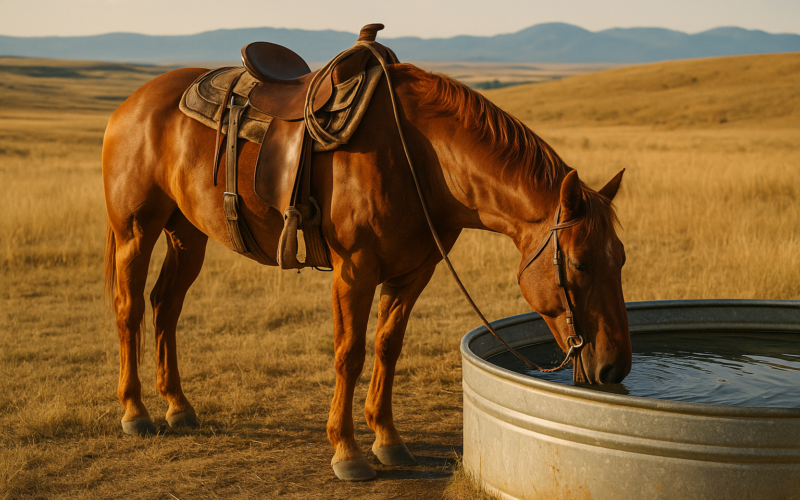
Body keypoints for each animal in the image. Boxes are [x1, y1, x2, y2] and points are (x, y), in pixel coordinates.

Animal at [102, 62, 630, 481]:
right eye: (580, 263)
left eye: (620, 259)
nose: (615, 368)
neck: (420, 158)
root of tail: (132, 102)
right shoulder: (353, 272)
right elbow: (349, 354)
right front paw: (347, 452)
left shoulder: (412, 273)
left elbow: (387, 348)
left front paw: (388, 440)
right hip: (136, 232)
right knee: (129, 310)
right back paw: (135, 412)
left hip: (186, 234)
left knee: (165, 307)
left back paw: (178, 406)